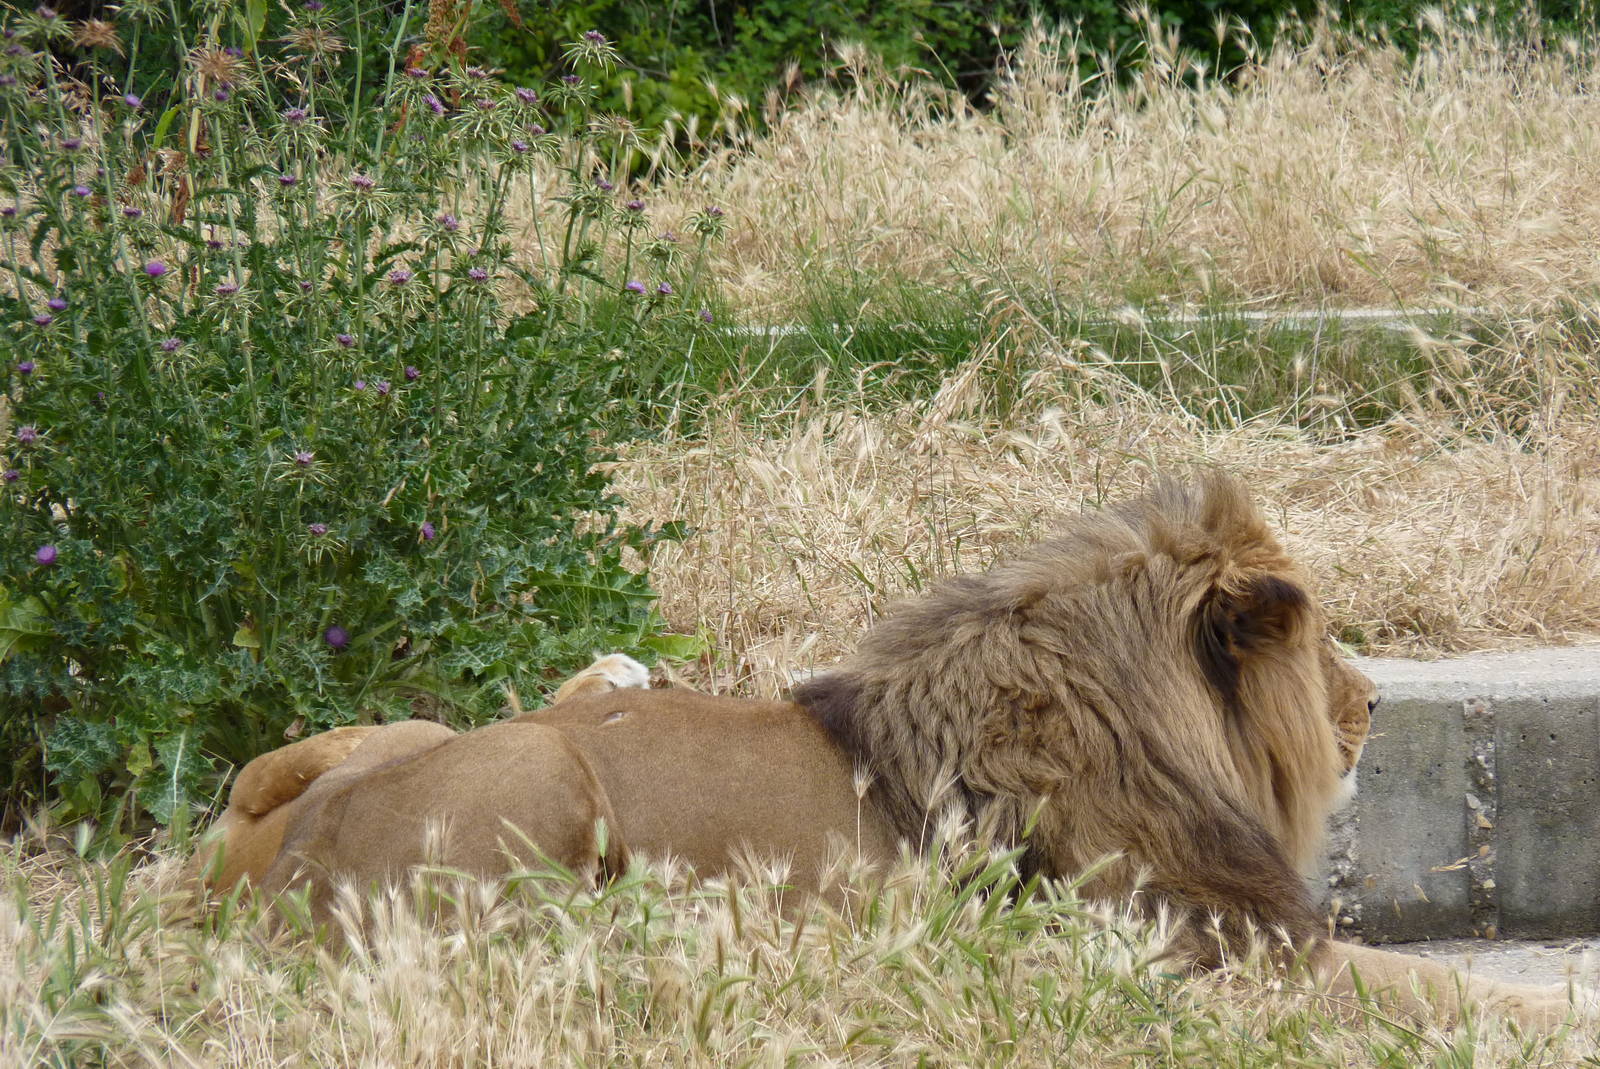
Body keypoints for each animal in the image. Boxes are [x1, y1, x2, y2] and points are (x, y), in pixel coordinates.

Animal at [193, 474, 1584, 1028]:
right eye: (1325, 638)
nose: (1376, 706)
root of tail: (267, 872)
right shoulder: (1217, 951)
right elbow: (1445, 989)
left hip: (429, 736)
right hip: (539, 786)